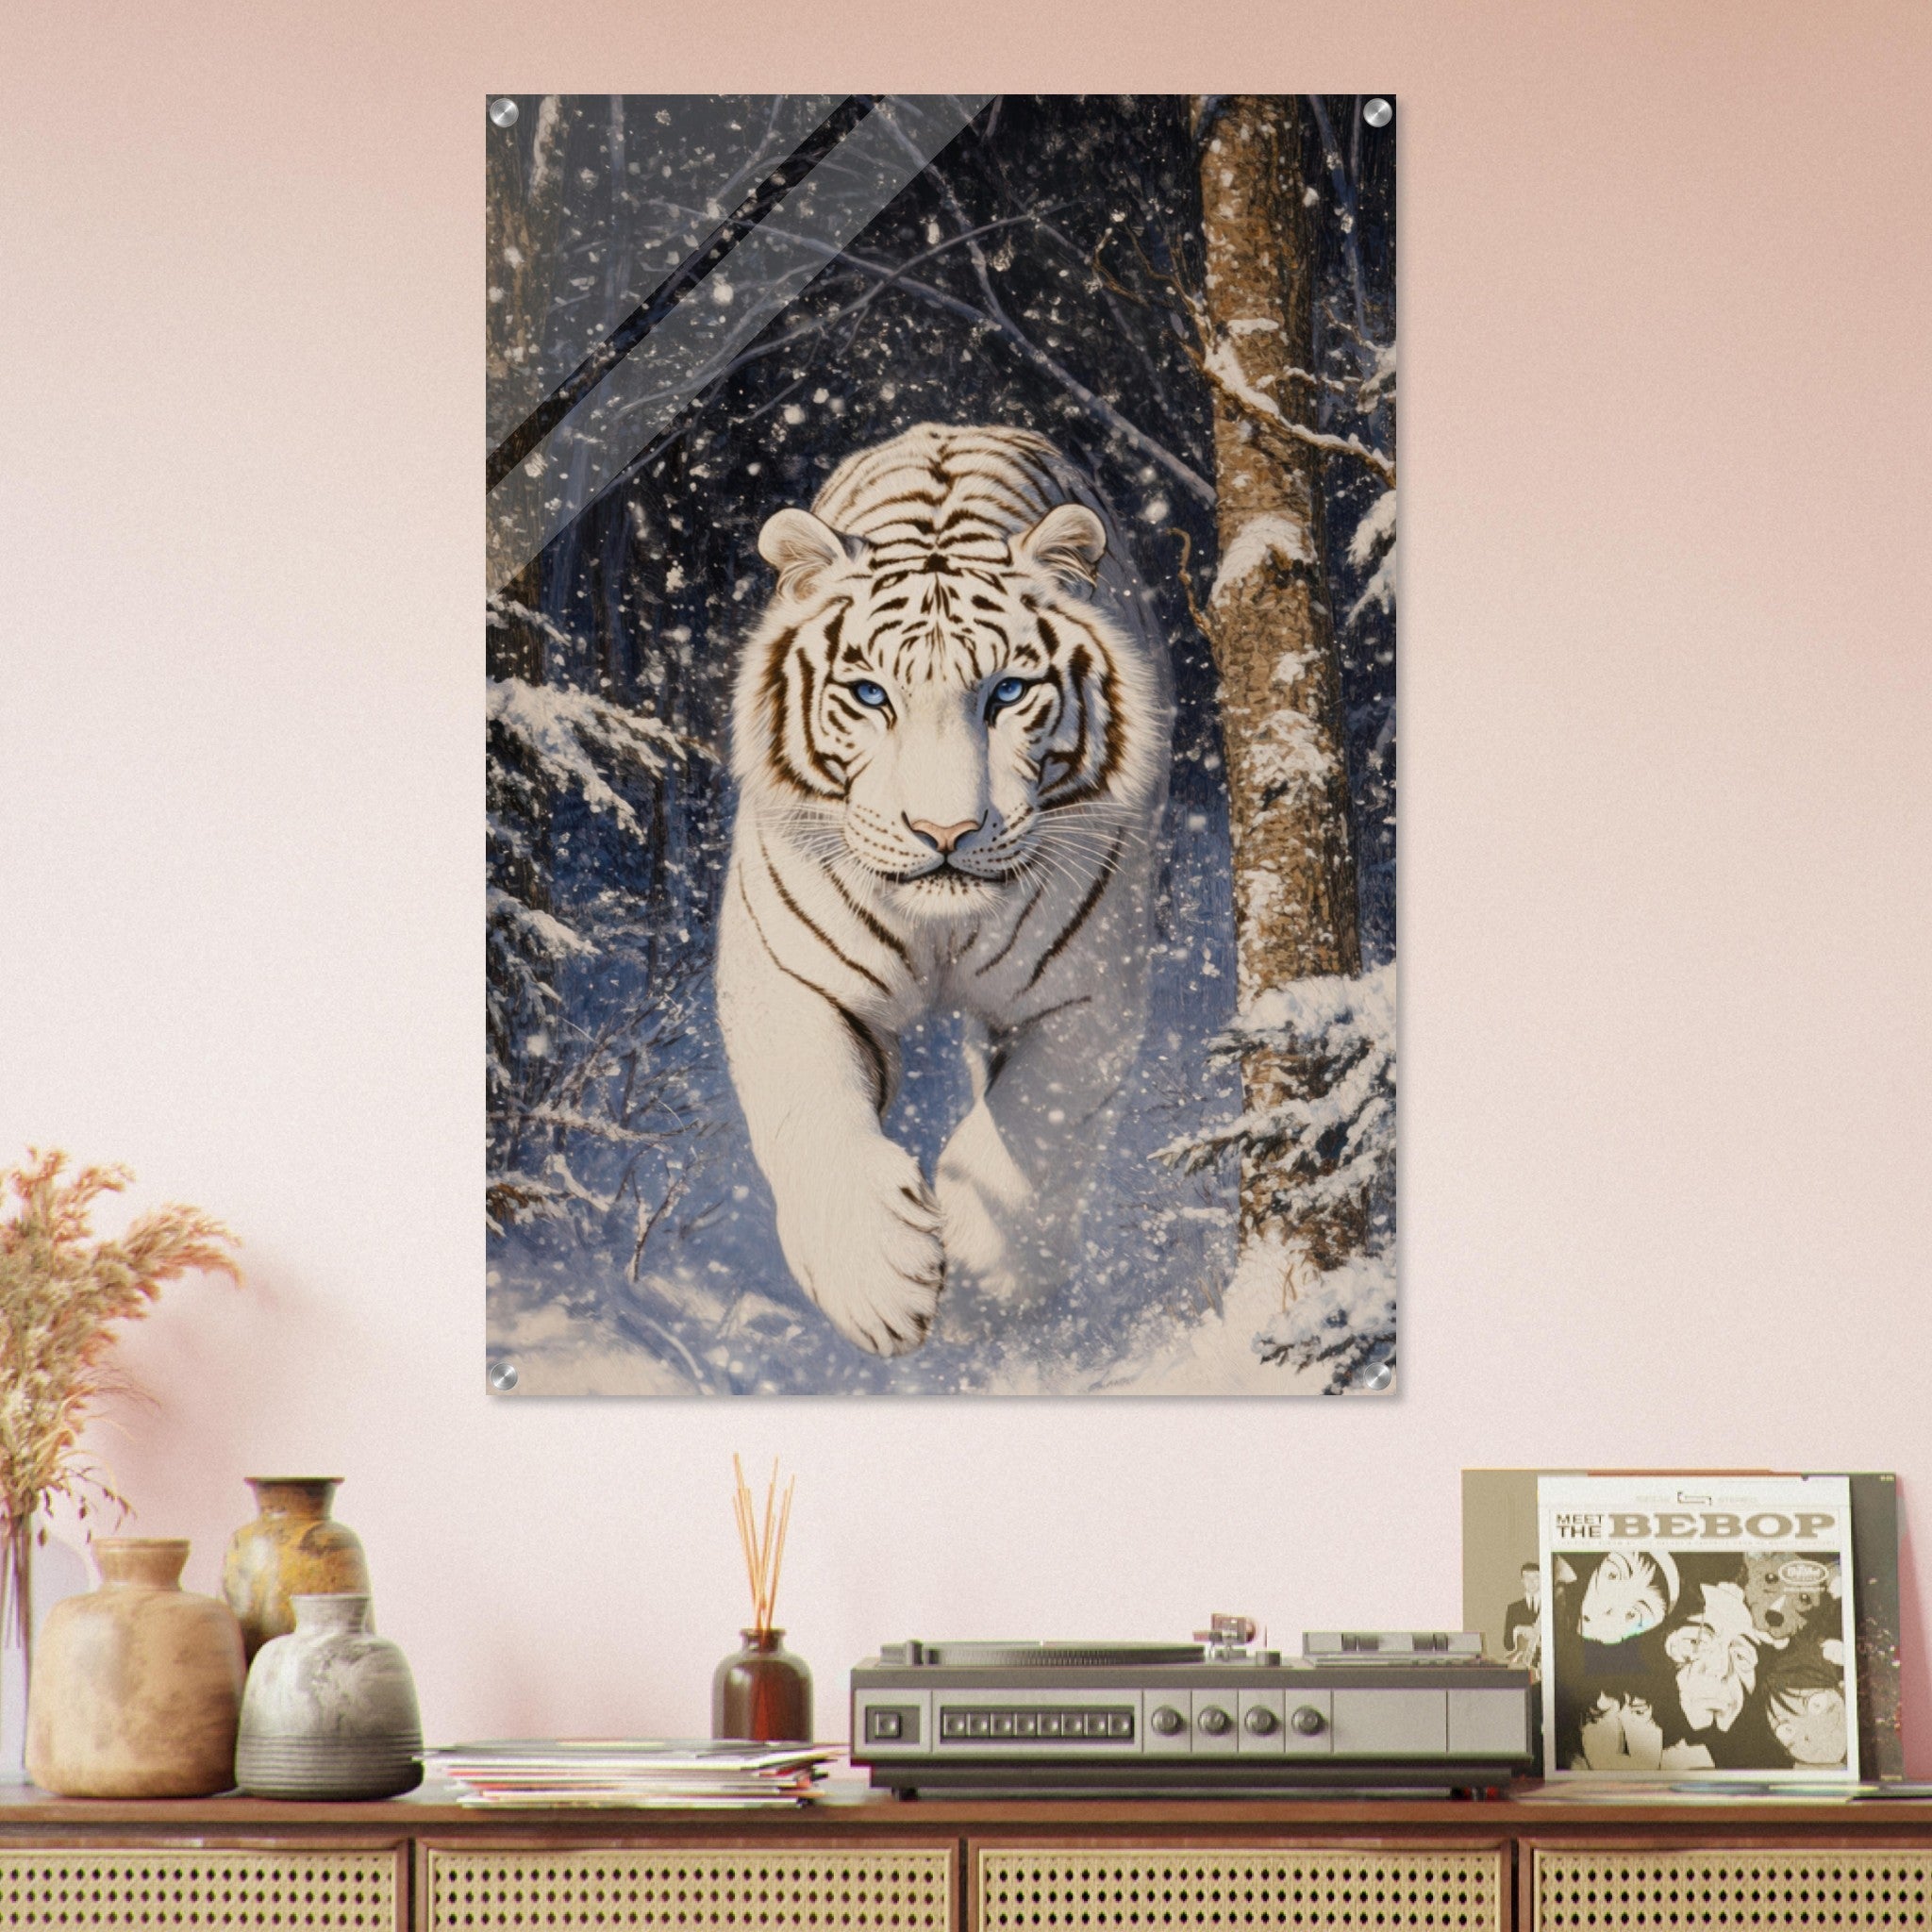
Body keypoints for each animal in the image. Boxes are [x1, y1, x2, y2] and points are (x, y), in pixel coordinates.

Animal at [715, 423, 1174, 1357]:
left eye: (1008, 691)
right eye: (868, 695)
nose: (944, 834)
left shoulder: (1085, 993)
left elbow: (1032, 1130)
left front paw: (987, 1289)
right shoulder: (786, 975)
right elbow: (809, 1108)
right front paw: (874, 1279)